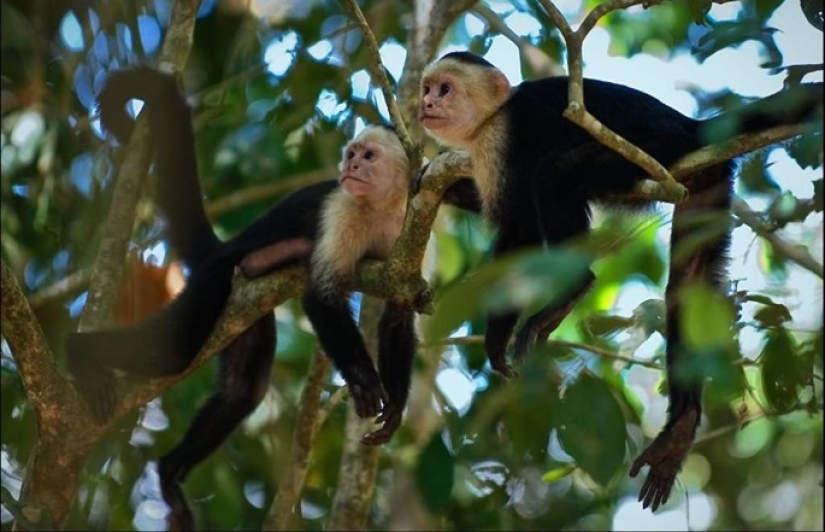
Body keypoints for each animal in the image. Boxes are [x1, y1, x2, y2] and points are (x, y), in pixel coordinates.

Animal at [65, 67, 417, 529]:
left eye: (369, 156)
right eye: (351, 154)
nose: (352, 165)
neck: (379, 208)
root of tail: (222, 248)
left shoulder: (408, 226)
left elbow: (398, 314)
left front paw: (395, 408)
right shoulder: (342, 210)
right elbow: (320, 297)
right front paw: (363, 380)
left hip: (244, 310)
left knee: (243, 390)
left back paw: (170, 473)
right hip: (215, 278)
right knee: (173, 352)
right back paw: (80, 352)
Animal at [418, 51, 822, 512]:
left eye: (444, 89)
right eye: (427, 89)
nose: (425, 104)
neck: (491, 117)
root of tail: (689, 126)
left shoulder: (503, 140)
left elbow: (520, 230)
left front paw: (497, 335)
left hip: (650, 150)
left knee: (554, 173)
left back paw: (572, 289)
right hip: (706, 176)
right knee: (688, 284)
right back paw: (680, 428)